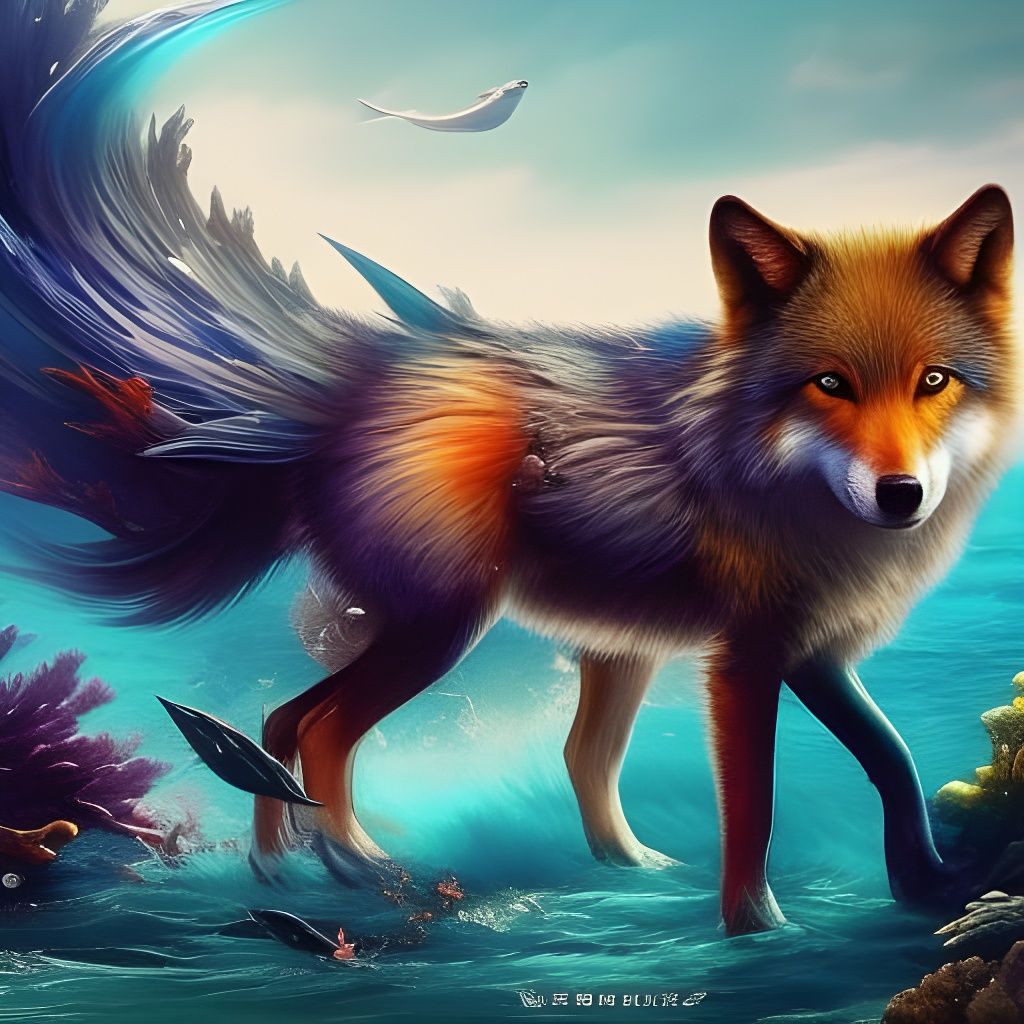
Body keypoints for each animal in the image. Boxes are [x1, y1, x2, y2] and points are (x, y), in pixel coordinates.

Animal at [0, 1, 1017, 935]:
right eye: (829, 384)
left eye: (934, 381)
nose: (902, 495)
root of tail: (351, 389)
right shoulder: (749, 659)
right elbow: (757, 809)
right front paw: (755, 930)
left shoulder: (817, 651)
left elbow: (893, 761)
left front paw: (925, 885)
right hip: (443, 627)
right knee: (317, 727)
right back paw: (349, 860)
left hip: (575, 643)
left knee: (386, 734)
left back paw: (318, 867)